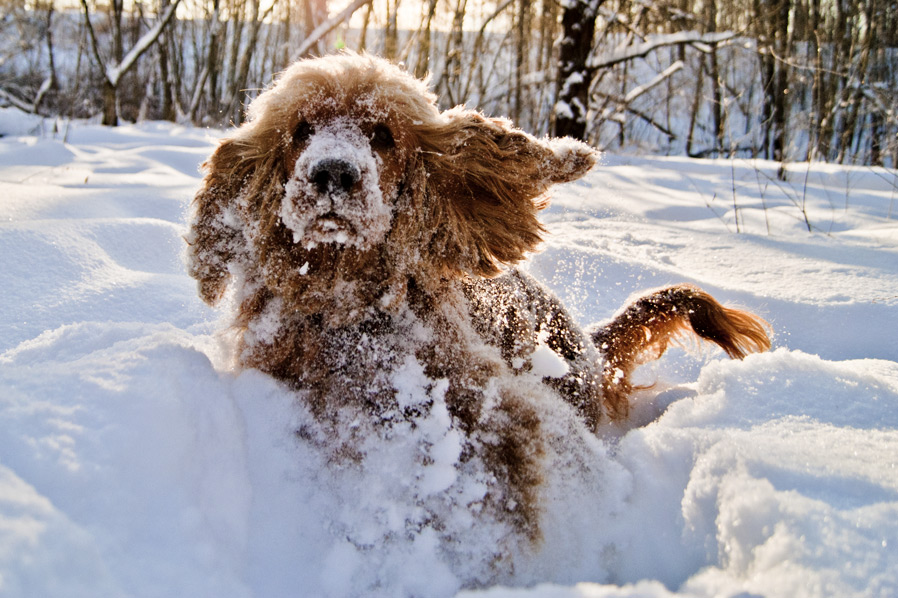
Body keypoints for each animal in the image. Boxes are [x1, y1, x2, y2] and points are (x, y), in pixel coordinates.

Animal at [184, 54, 768, 556]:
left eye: (383, 135)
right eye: (302, 129)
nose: (333, 173)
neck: (342, 299)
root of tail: (590, 345)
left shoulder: (489, 399)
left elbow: (511, 465)